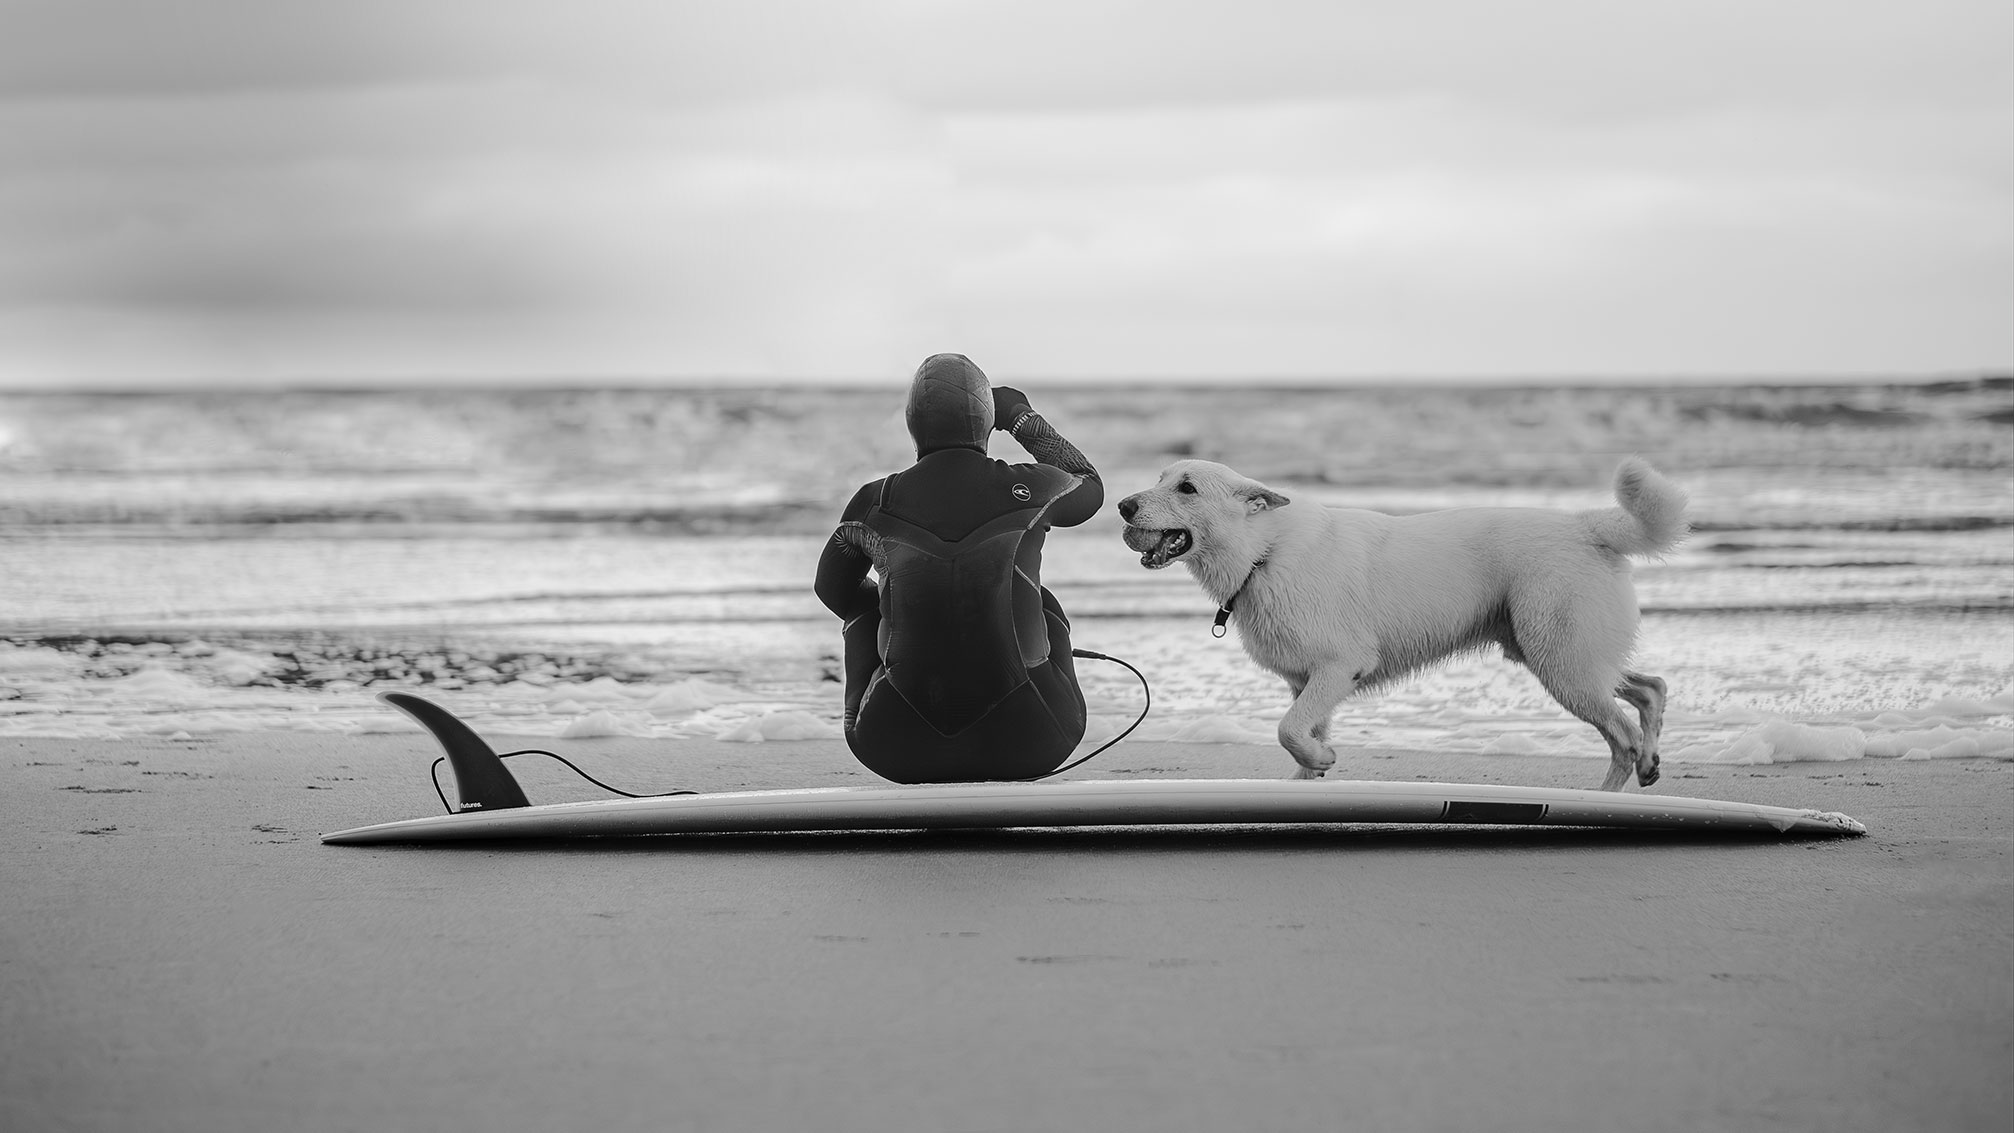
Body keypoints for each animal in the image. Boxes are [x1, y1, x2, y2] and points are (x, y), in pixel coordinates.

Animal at [1119, 458, 1683, 788]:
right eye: (1158, 481)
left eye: (1187, 488)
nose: (1123, 504)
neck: (1263, 553)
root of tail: (1586, 525)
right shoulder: (1306, 682)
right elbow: (1299, 734)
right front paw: (1310, 775)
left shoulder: (1339, 668)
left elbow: (1288, 730)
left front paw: (1323, 759)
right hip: (1555, 654)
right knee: (1650, 688)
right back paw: (1649, 765)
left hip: (1560, 661)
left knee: (1623, 736)